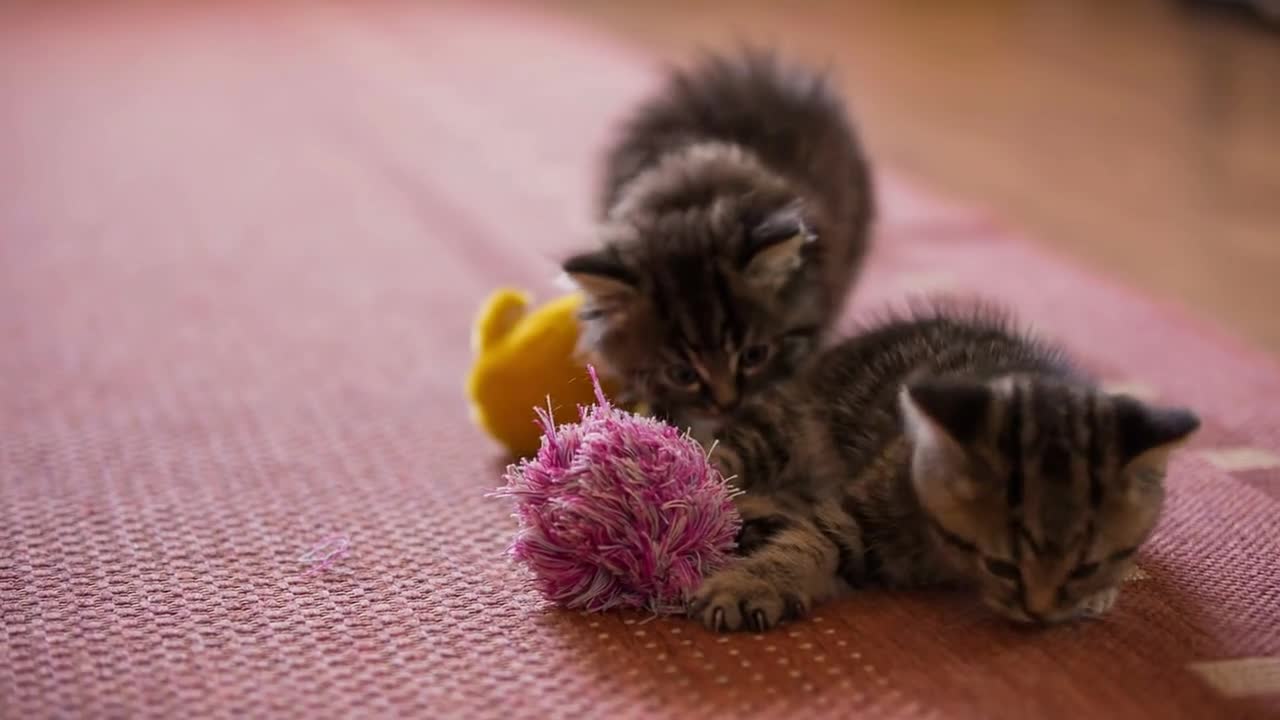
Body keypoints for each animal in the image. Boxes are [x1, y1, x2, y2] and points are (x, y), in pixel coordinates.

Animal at [691, 304, 1198, 630]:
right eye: (1002, 565)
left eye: (1084, 567)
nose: (1038, 613)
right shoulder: (864, 505)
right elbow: (812, 541)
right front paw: (751, 583)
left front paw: (1097, 594)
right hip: (783, 428)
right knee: (721, 460)